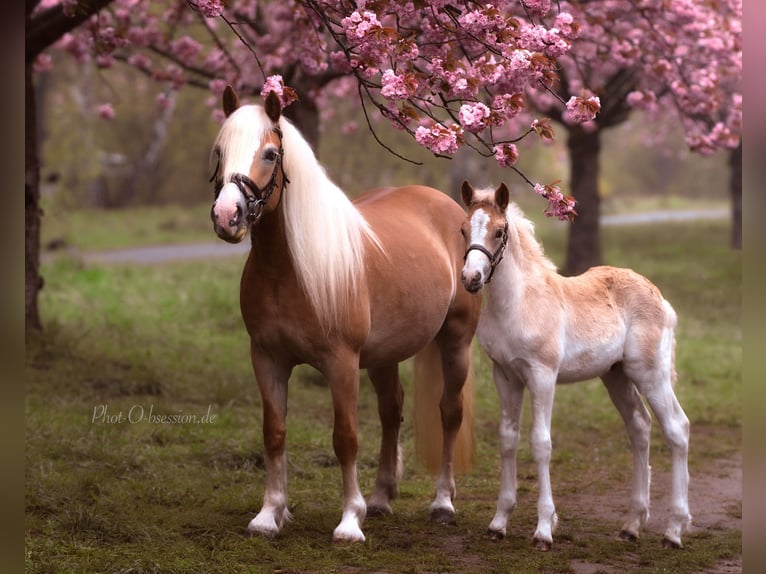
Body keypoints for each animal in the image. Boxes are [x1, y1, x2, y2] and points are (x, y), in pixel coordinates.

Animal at [207, 86, 484, 544]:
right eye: (219, 151)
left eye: (269, 153)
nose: (227, 217)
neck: (289, 267)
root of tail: (448, 208)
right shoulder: (267, 359)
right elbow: (274, 433)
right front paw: (269, 514)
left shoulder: (342, 363)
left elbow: (346, 438)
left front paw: (350, 522)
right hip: (385, 355)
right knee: (392, 410)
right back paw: (382, 498)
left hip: (455, 342)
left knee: (450, 412)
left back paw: (442, 502)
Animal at [462, 182, 696, 552]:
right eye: (462, 229)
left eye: (499, 231)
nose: (470, 278)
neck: (517, 302)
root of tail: (660, 297)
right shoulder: (506, 376)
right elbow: (508, 439)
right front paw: (498, 523)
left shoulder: (542, 375)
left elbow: (540, 443)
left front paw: (544, 530)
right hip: (616, 376)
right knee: (639, 427)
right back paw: (632, 526)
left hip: (651, 374)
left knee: (677, 428)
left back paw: (673, 531)